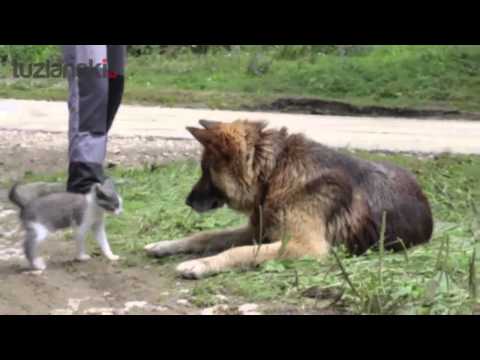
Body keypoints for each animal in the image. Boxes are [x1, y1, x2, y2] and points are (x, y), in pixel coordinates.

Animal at [144, 119, 434, 280]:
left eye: (206, 171)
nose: (187, 201)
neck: (274, 173)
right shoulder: (258, 230)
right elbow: (205, 236)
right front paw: (165, 244)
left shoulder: (304, 246)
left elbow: (238, 251)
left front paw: (201, 264)